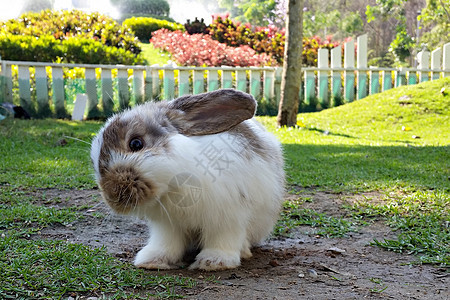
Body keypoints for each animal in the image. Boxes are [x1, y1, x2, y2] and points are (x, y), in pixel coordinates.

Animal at [89, 89, 284, 272]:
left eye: (136, 144)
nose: (112, 196)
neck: (173, 187)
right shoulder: (167, 225)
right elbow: (167, 243)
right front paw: (152, 260)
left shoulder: (228, 217)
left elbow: (223, 239)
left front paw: (214, 262)